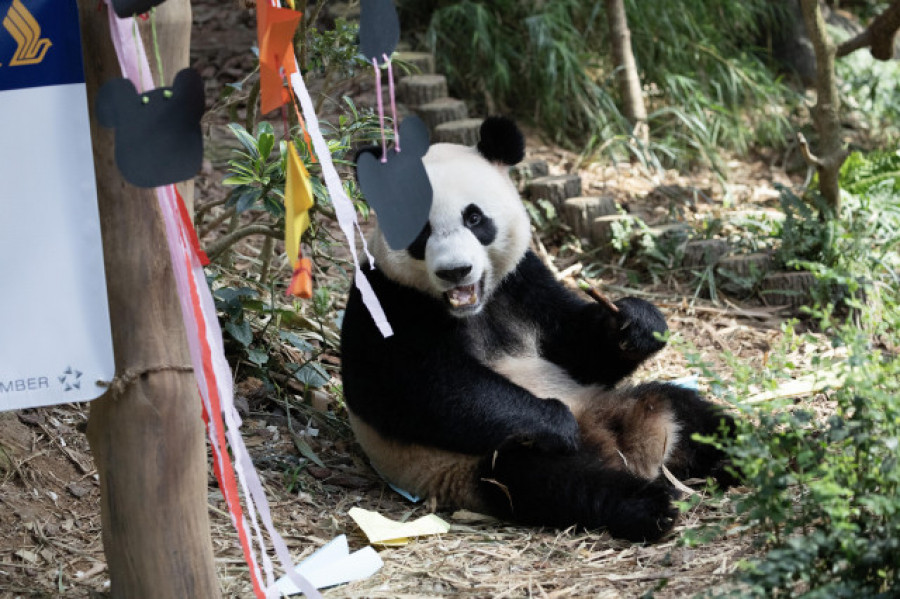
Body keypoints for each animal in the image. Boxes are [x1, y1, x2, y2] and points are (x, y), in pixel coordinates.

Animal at [342, 116, 736, 544]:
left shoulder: (523, 283)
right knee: (558, 481)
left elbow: (577, 349)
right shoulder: (384, 300)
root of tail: (626, 447)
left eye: (474, 219)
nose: (455, 271)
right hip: (478, 463)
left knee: (687, 410)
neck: (471, 309)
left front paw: (637, 324)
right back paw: (652, 505)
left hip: (619, 401)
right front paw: (553, 421)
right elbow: (417, 389)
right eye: (419, 231)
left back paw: (743, 453)